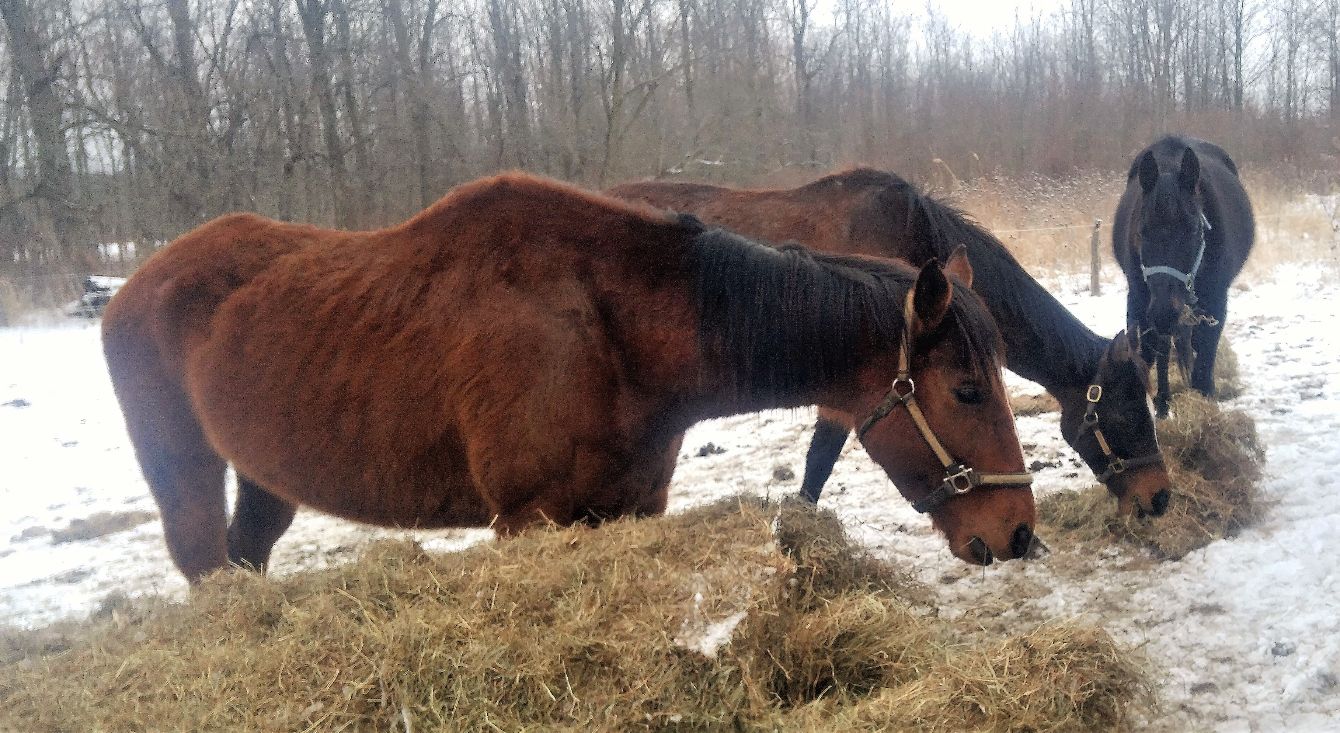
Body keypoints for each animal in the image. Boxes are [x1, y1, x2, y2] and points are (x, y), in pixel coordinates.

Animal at [102, 172, 1036, 581]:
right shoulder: (528, 522)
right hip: (187, 479)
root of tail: (132, 288)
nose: (1020, 533)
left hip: (267, 478)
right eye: (965, 390)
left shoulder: (627, 508)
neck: (605, 327)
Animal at [1113, 135, 1255, 417]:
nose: (1165, 312)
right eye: (1142, 231)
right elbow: (1150, 353)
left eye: (1193, 230)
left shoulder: (1215, 304)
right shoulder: (1139, 301)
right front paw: (1159, 406)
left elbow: (1204, 362)